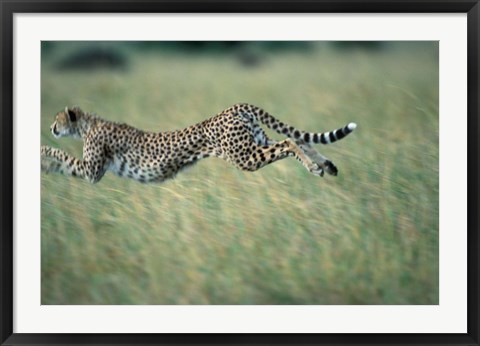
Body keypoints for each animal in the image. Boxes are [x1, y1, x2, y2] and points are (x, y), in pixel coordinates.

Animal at [42, 102, 356, 184]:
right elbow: (62, 163)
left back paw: (316, 167)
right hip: (254, 142)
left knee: (289, 142)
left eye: (57, 119)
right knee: (297, 139)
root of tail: (235, 106)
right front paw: (44, 166)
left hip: (245, 157)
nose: (51, 127)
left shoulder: (92, 172)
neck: (86, 125)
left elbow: (61, 155)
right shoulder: (90, 171)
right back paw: (325, 165)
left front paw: (42, 152)